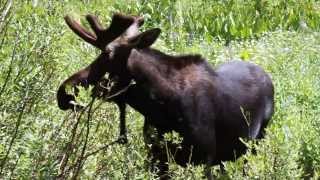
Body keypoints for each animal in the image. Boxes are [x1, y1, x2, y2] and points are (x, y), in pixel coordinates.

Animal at [56, 12, 274, 179]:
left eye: (108, 54)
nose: (63, 92)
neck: (161, 108)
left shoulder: (204, 159)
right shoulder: (157, 157)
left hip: (256, 143)